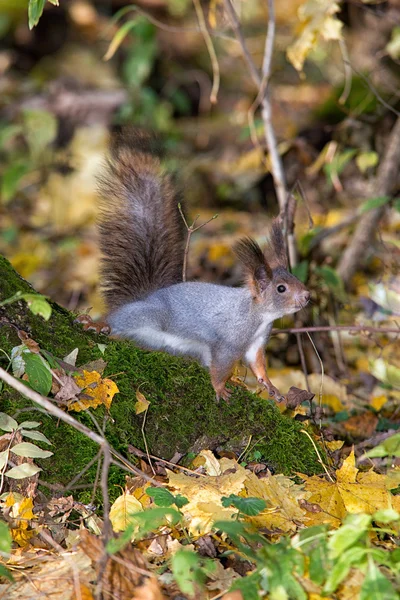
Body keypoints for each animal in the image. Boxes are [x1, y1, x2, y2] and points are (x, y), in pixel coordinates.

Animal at [97, 132, 310, 404]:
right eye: (281, 288)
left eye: (295, 278)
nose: (307, 296)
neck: (258, 316)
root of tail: (143, 297)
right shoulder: (228, 343)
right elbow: (220, 366)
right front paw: (220, 388)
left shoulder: (256, 344)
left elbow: (258, 365)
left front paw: (270, 386)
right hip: (149, 315)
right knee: (117, 320)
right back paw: (96, 324)